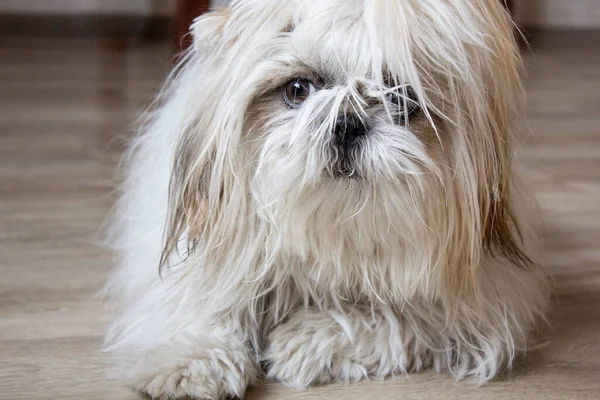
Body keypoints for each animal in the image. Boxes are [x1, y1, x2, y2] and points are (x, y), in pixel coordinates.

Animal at [104, 0, 548, 398]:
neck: (327, 227)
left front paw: (308, 338)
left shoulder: (472, 301)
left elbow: (398, 314)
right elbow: (201, 300)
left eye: (401, 100)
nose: (348, 123)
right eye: (298, 89)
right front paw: (191, 360)